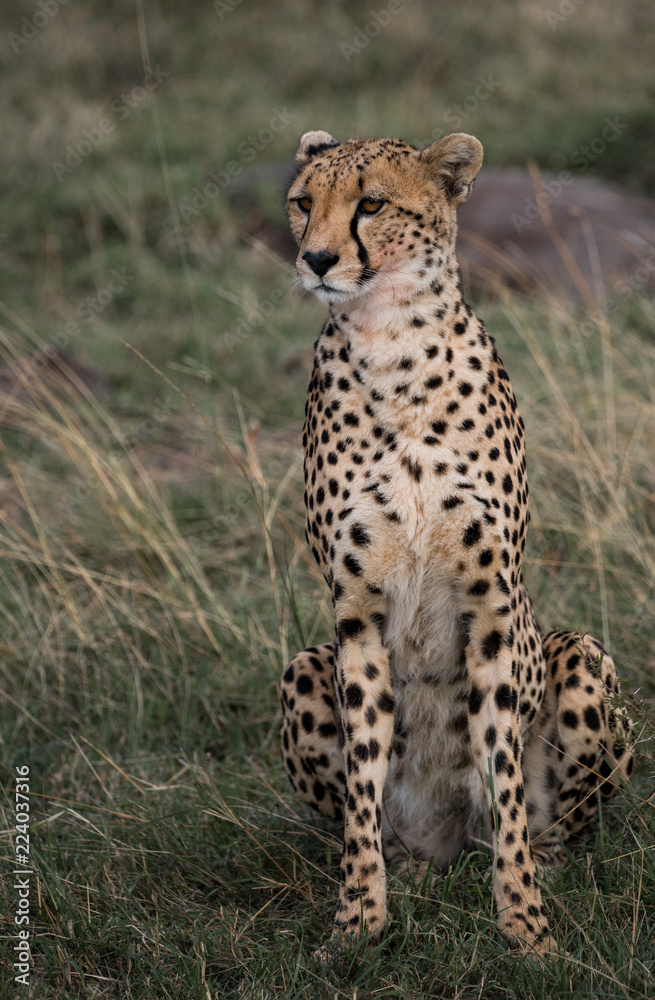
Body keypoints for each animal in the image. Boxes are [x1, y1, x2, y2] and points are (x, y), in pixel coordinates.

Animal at [279, 128, 633, 954]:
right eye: (303, 201)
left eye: (371, 204)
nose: (316, 259)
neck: (389, 346)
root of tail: (448, 843)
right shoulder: (354, 615)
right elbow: (363, 782)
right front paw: (357, 921)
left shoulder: (492, 607)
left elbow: (500, 776)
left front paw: (526, 927)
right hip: (303, 667)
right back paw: (406, 865)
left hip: (582, 656)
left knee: (548, 822)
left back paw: (543, 862)